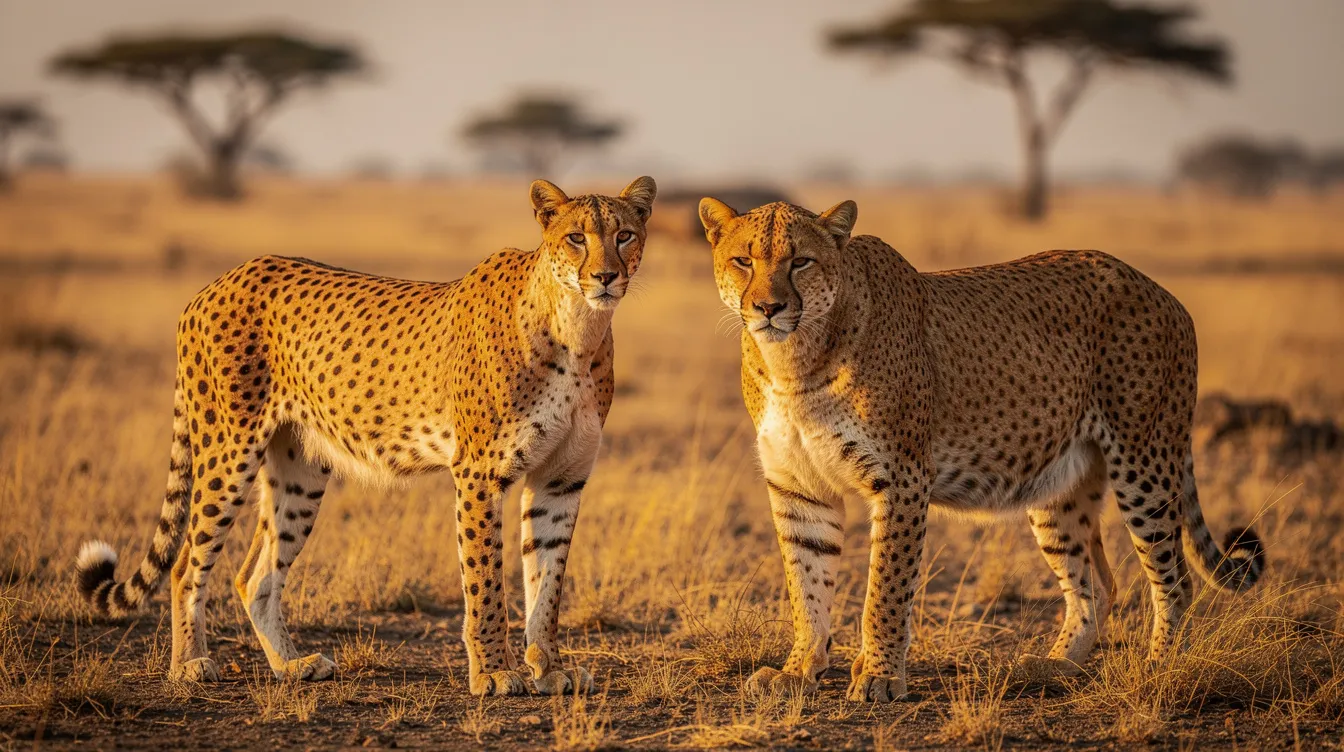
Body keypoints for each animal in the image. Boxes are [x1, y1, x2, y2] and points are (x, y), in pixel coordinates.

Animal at [75, 176, 657, 697]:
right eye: (576, 237)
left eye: (625, 234)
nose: (606, 276)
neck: (577, 327)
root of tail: (218, 282)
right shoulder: (479, 475)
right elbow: (486, 582)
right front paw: (494, 672)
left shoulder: (561, 480)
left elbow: (547, 583)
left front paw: (549, 669)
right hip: (228, 449)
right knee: (184, 564)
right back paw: (189, 665)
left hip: (300, 470)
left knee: (255, 575)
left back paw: (291, 667)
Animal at [698, 196, 1265, 703]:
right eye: (744, 261)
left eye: (801, 262)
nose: (768, 308)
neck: (794, 362)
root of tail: (1159, 290)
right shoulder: (799, 488)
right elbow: (806, 585)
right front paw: (798, 671)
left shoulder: (902, 479)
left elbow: (885, 588)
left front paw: (879, 676)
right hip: (1060, 486)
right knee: (1097, 584)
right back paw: (1052, 666)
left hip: (1144, 461)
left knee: (1175, 580)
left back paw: (1158, 668)